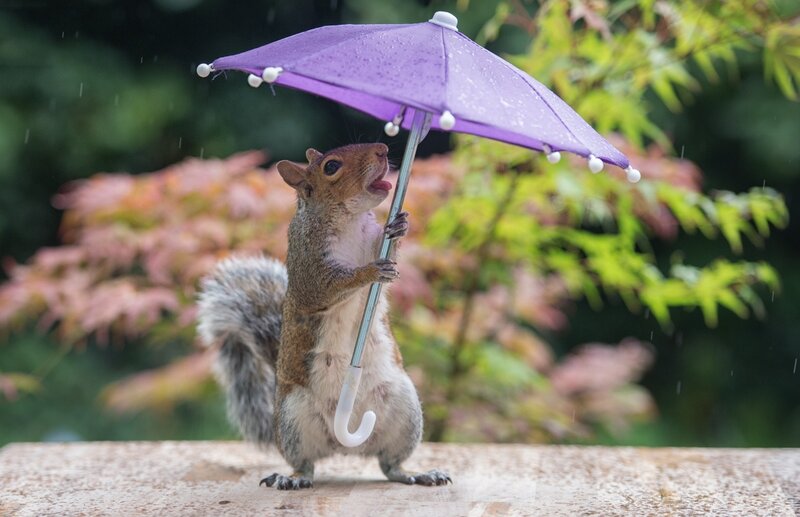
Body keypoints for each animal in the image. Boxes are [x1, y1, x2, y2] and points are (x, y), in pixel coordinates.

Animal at [197, 143, 450, 490]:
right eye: (331, 167)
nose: (383, 149)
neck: (349, 219)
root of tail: (345, 445)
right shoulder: (308, 267)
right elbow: (330, 287)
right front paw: (368, 272)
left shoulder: (375, 239)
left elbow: (388, 254)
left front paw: (401, 226)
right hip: (294, 419)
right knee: (306, 463)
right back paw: (292, 478)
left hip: (404, 410)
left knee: (390, 464)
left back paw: (418, 473)